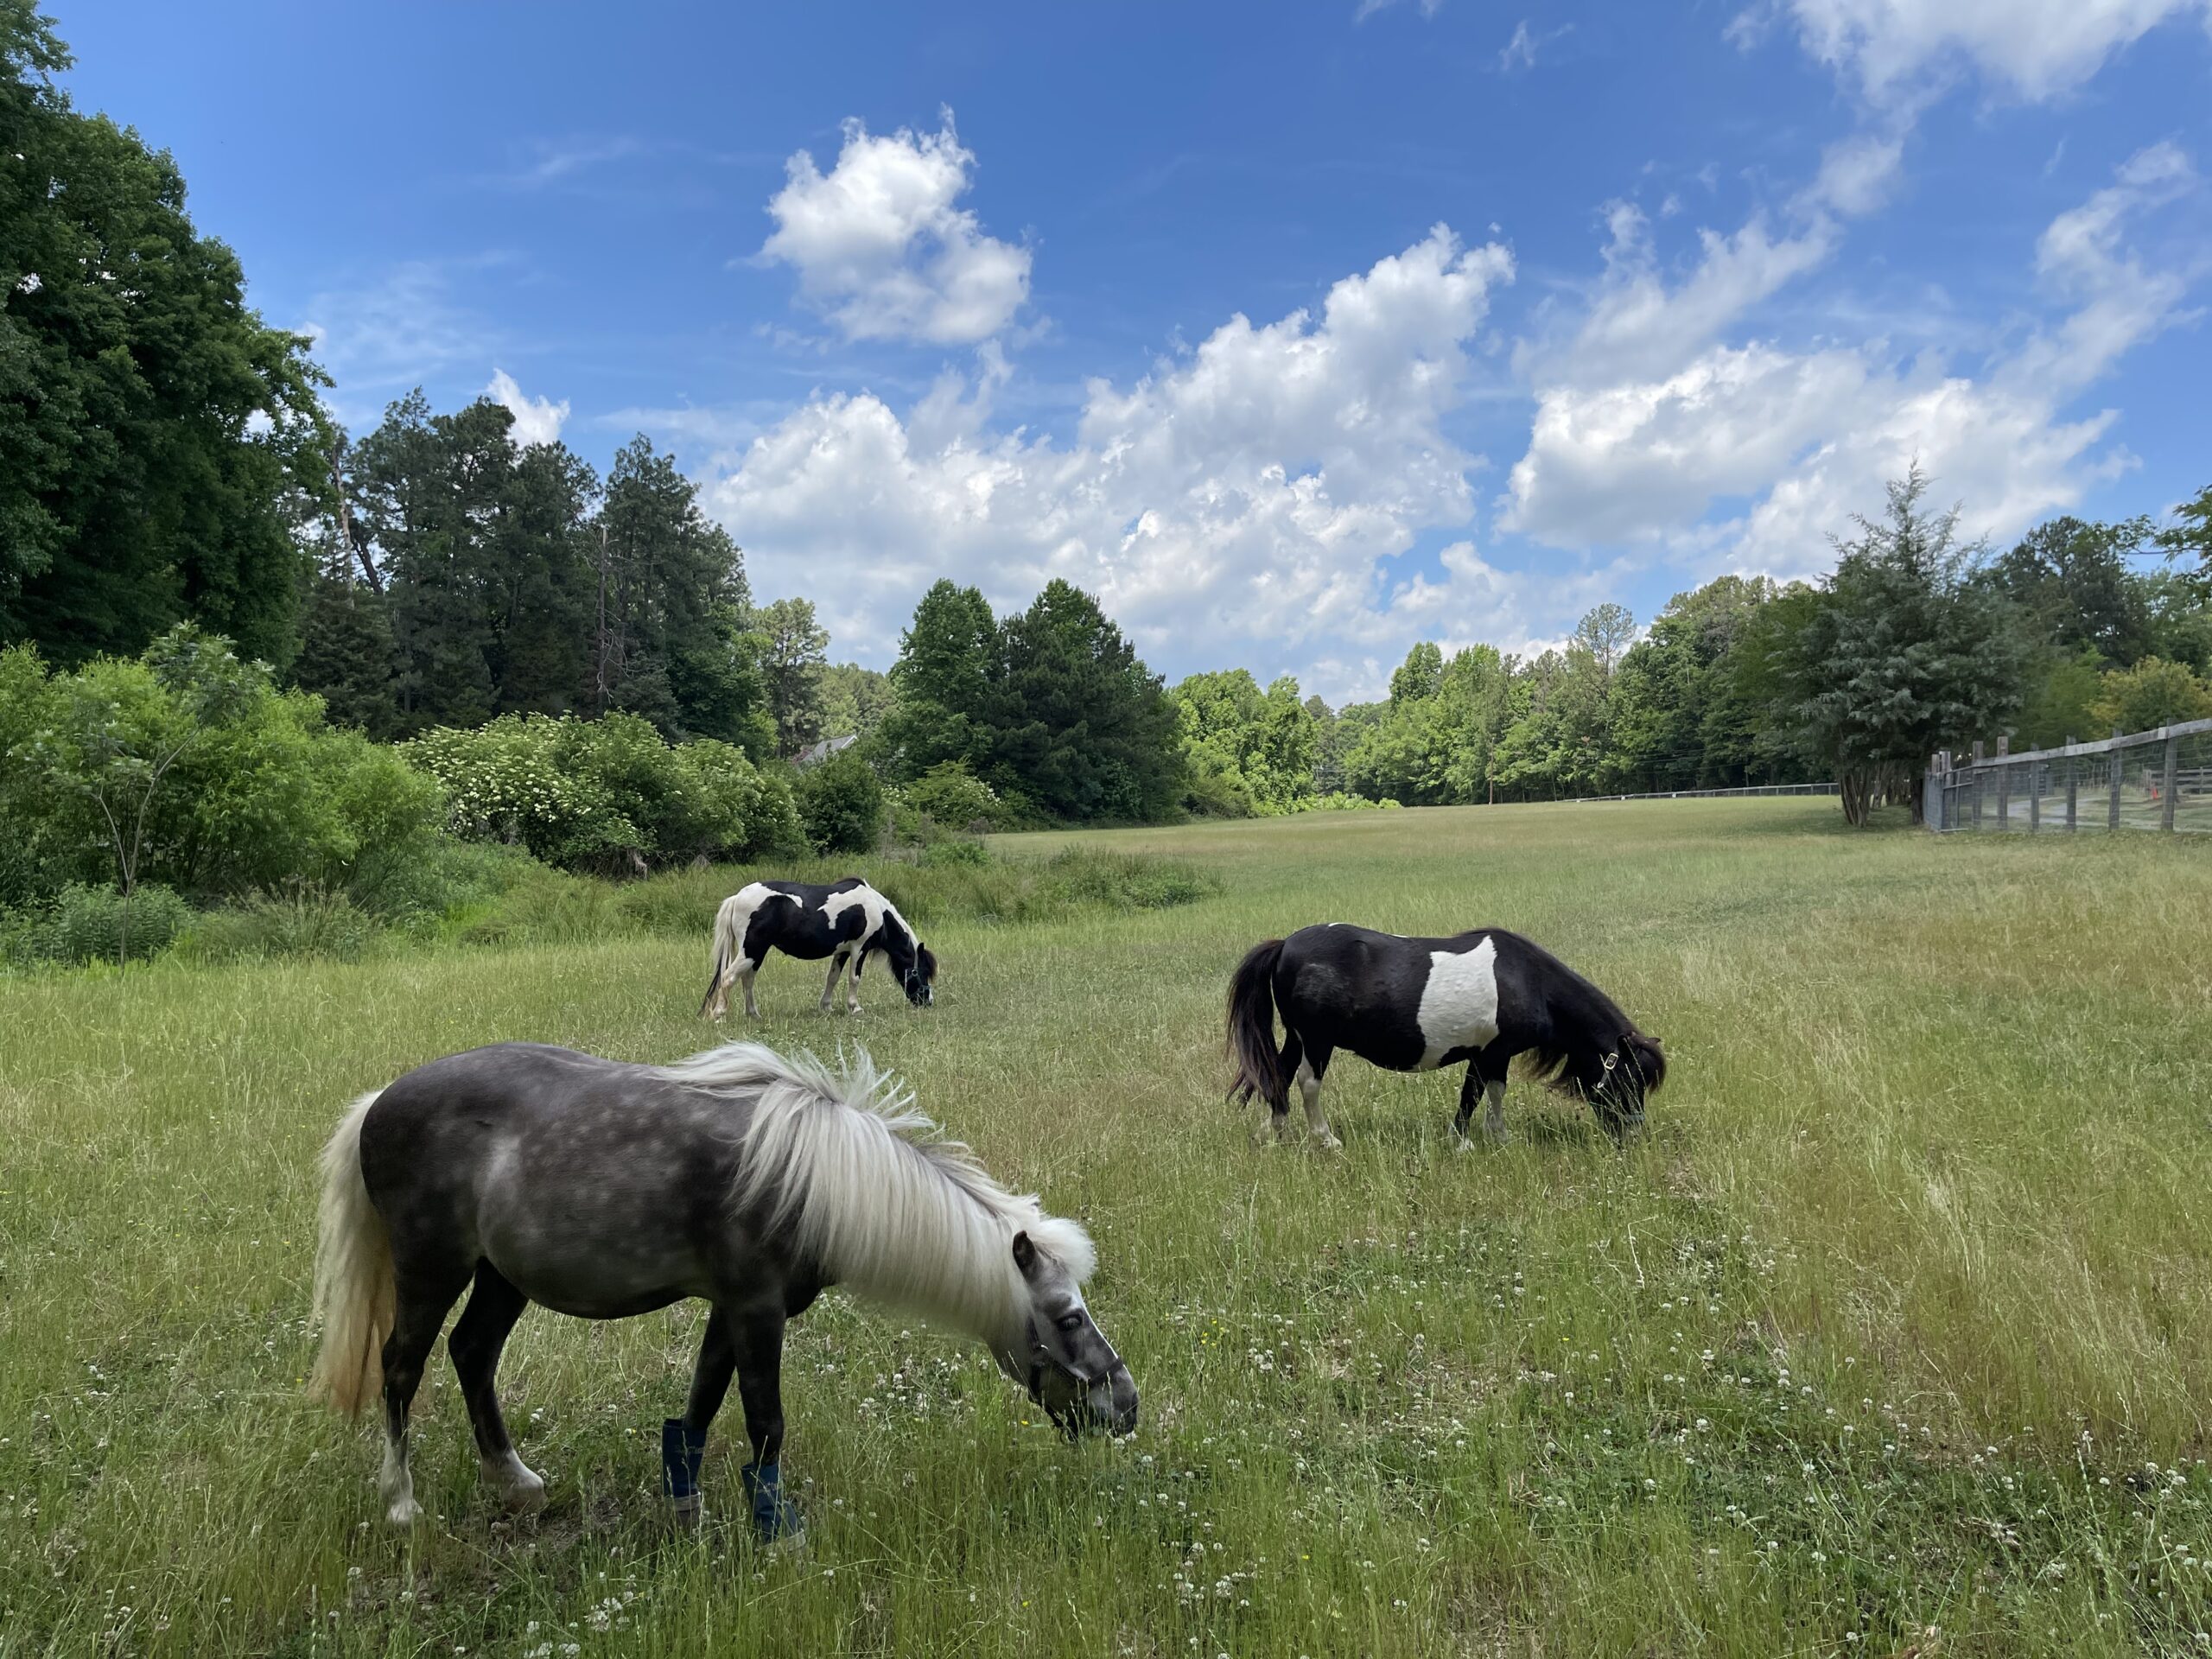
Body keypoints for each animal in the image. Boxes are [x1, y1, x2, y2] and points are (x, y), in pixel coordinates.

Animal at [694, 875, 929, 1021]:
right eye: (921, 972)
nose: (927, 1001)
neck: (874, 908)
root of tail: (737, 897)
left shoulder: (842, 951)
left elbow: (832, 978)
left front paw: (826, 1006)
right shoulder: (859, 947)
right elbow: (854, 979)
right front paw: (855, 1008)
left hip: (756, 953)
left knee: (747, 980)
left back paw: (753, 1014)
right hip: (750, 951)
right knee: (728, 977)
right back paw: (718, 1014)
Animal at [1230, 929, 1663, 1150]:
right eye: (1630, 1081)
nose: (1633, 1137)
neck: (1527, 981)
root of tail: (1286, 945)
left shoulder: (1485, 1055)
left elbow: (1481, 1093)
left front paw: (1479, 1137)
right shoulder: (1492, 1054)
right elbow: (1482, 1095)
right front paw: (1479, 1140)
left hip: (1297, 1038)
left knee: (1280, 1075)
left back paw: (1275, 1134)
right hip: (1318, 1041)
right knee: (1308, 1083)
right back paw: (1325, 1139)